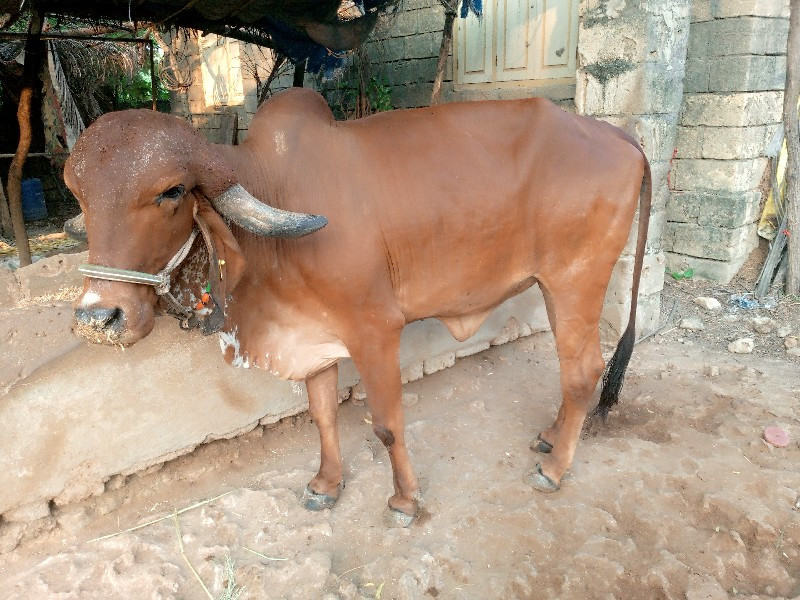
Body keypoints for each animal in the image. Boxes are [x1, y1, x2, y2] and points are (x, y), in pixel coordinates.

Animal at [67, 88, 648, 524]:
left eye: (171, 192)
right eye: (79, 196)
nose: (99, 318)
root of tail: (618, 135)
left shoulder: (375, 330)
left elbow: (387, 423)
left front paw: (405, 500)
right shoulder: (313, 335)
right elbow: (323, 415)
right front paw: (327, 484)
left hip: (576, 281)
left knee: (583, 371)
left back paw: (555, 469)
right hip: (553, 287)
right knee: (574, 370)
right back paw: (550, 439)